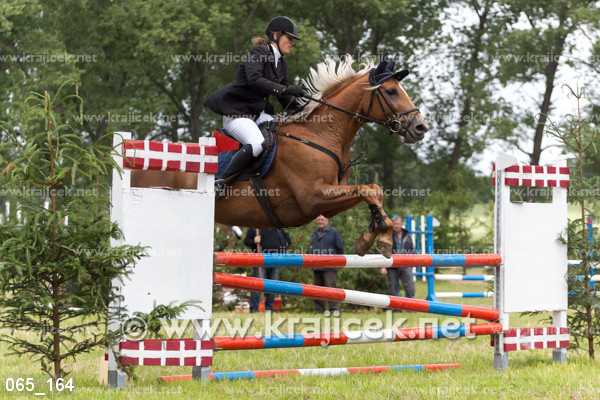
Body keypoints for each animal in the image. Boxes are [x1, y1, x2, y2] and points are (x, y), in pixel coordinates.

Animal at [131, 55, 428, 258]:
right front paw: (382, 238)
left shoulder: (327, 203)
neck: (321, 134)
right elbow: (368, 189)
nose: (420, 127)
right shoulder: (313, 198)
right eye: (391, 91)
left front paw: (373, 237)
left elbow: (373, 190)